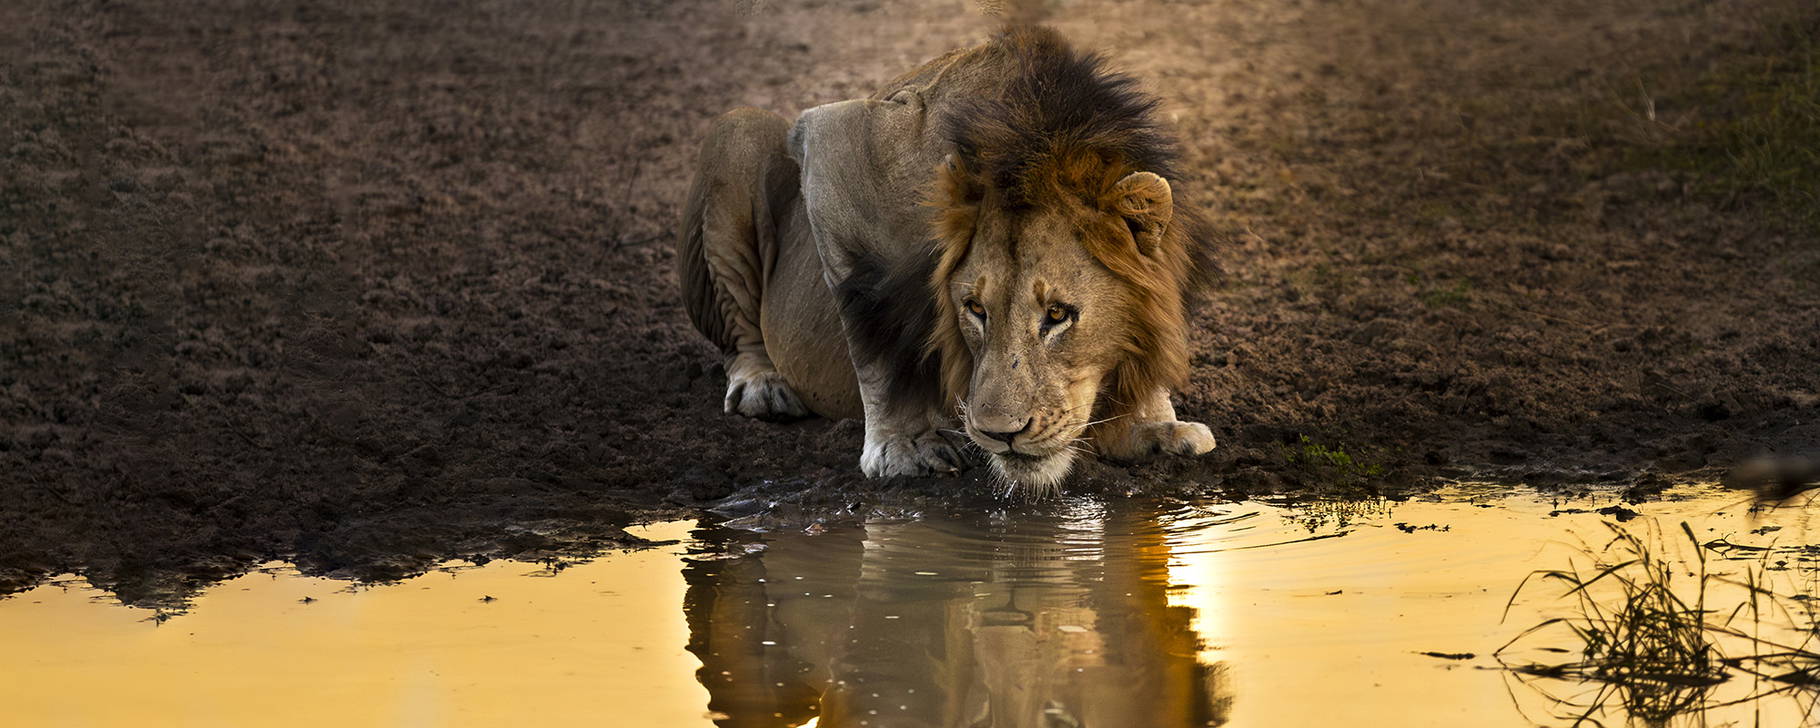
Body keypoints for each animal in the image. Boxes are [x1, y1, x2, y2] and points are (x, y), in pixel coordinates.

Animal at [676, 26, 1217, 493]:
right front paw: (904, 446)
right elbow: (871, 337)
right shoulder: (836, 142)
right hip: (738, 132)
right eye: (974, 310)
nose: (1001, 434)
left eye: (1058, 315)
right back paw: (762, 385)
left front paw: (1152, 428)